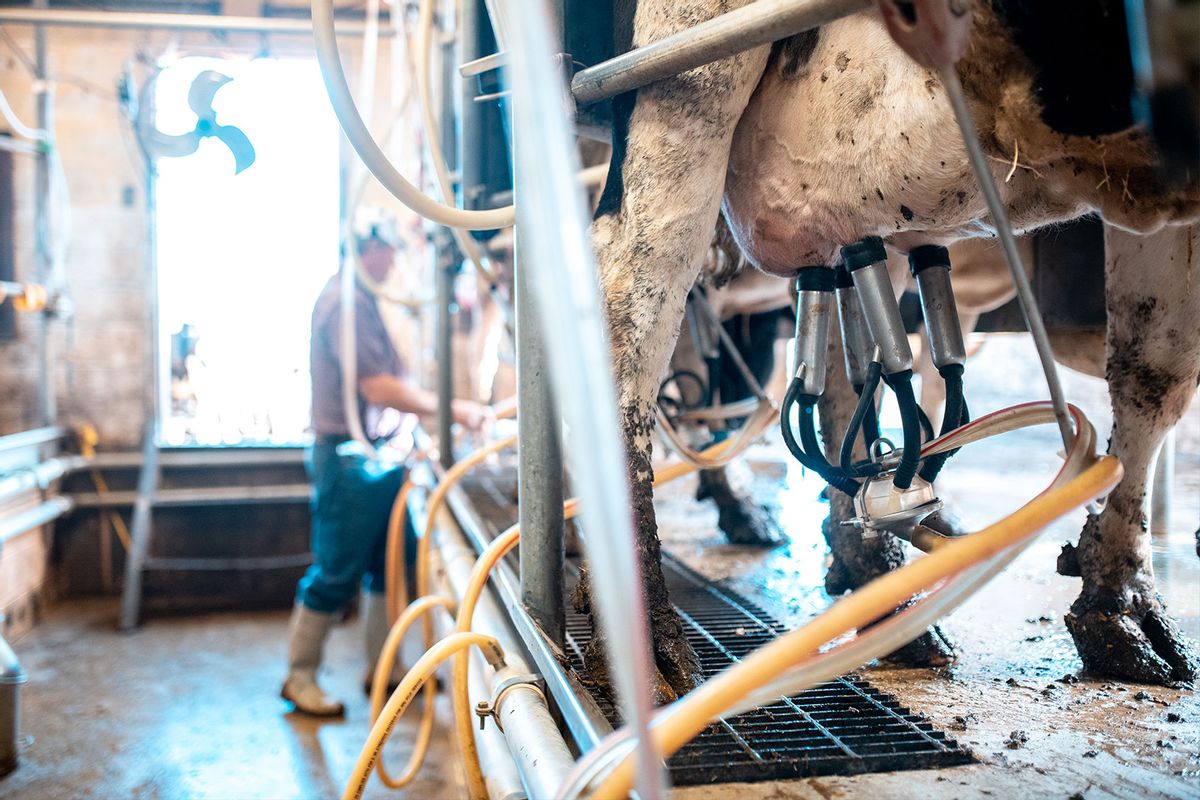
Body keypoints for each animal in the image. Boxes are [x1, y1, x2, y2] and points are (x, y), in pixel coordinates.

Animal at [588, 0, 1200, 700]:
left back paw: (875, 576)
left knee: (830, 352)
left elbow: (1157, 371)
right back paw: (645, 636)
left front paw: (1123, 607)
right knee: (636, 300)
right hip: (677, 80)